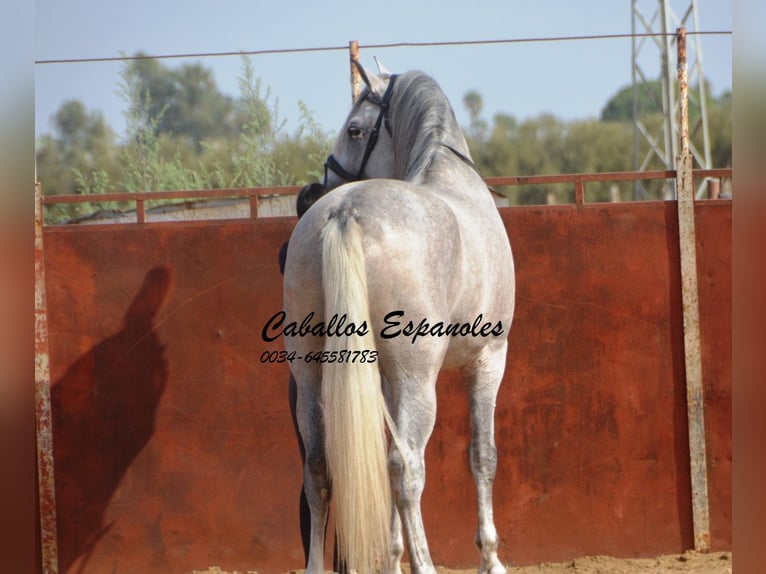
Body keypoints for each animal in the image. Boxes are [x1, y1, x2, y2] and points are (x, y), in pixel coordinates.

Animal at [282, 63, 516, 574]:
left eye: (355, 129)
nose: (313, 190)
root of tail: (344, 211)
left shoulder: (385, 379)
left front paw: (391, 557)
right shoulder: (489, 359)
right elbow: (483, 455)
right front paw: (491, 556)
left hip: (310, 375)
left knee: (320, 466)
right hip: (418, 379)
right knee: (407, 468)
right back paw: (425, 564)